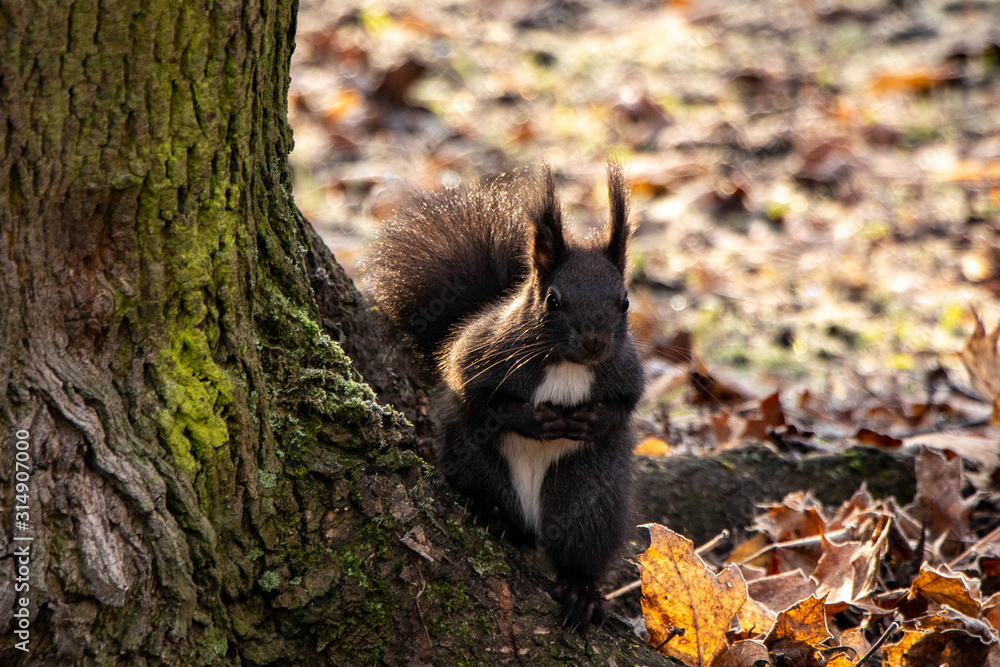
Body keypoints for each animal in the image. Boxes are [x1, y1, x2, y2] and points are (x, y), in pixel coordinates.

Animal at [367, 161, 643, 630]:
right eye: (553, 301)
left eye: (624, 303)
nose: (594, 343)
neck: (565, 365)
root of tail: (532, 525)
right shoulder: (481, 349)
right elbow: (472, 391)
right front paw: (534, 420)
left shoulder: (627, 368)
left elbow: (627, 404)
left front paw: (592, 421)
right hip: (479, 465)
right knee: (488, 492)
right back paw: (493, 514)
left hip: (588, 500)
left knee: (583, 550)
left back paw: (582, 593)